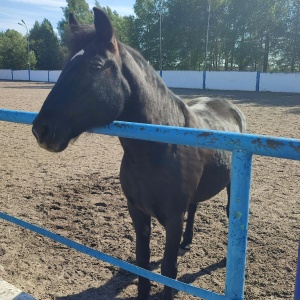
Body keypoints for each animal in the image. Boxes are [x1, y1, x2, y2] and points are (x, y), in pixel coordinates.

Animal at [31, 7, 246, 300]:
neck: (158, 151)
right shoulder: (138, 213)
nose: (41, 129)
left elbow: (168, 270)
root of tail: (230, 106)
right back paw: (187, 242)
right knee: (194, 207)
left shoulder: (172, 219)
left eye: (95, 65)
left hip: (232, 185)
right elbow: (142, 262)